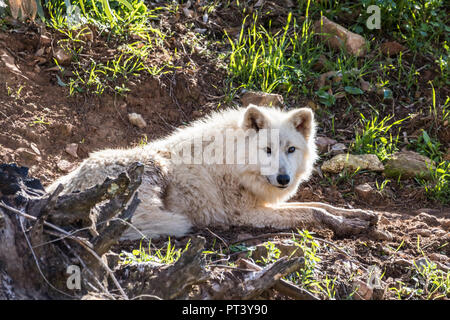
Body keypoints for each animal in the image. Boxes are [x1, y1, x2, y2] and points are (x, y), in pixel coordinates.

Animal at [47, 105, 388, 240]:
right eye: (267, 150)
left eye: (291, 149)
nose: (283, 179)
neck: (234, 161)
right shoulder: (247, 214)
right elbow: (314, 213)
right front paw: (346, 226)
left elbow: (321, 204)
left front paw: (359, 215)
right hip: (151, 167)